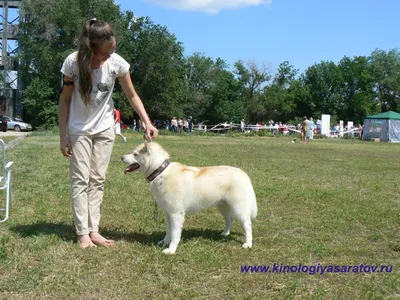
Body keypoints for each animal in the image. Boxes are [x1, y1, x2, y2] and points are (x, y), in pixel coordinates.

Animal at [120, 141, 258, 253]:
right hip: (222, 205)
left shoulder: (176, 214)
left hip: (239, 208)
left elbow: (175, 235)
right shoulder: (167, 213)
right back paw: (225, 233)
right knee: (229, 219)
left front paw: (171, 250)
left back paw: (248, 244)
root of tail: (243, 173)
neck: (160, 171)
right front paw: (164, 242)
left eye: (135, 154)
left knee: (247, 225)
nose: (121, 157)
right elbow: (168, 231)